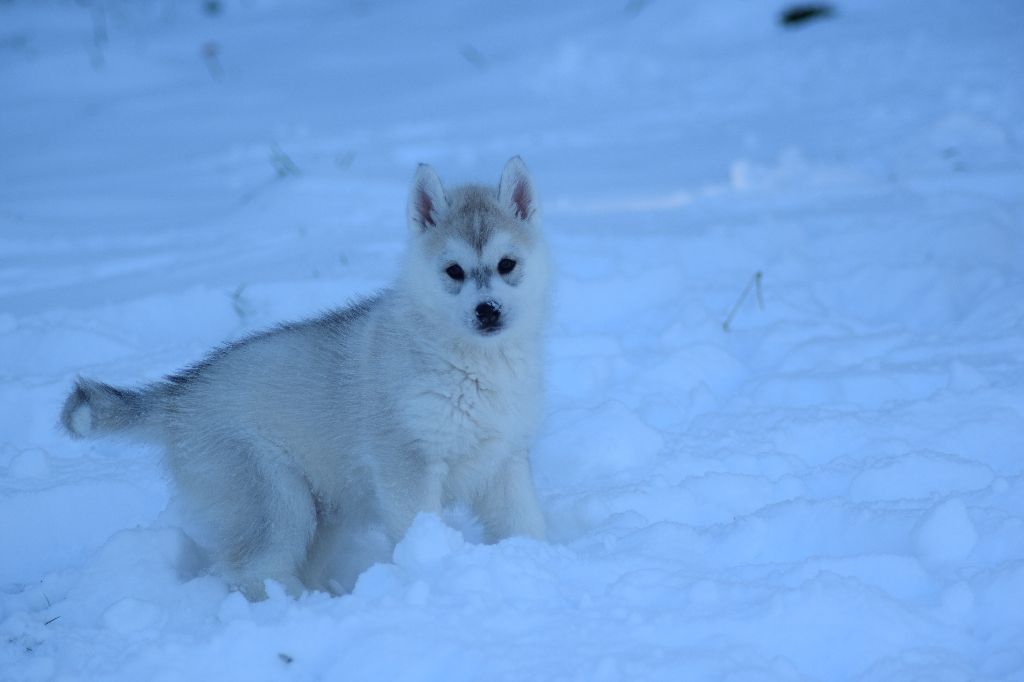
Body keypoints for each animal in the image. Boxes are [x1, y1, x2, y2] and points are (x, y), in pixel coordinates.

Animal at [59, 156, 548, 598]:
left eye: (507, 264)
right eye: (454, 271)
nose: (488, 310)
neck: (473, 363)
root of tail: (181, 393)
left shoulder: (504, 460)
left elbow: (522, 522)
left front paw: (538, 560)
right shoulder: (406, 464)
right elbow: (417, 528)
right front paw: (431, 568)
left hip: (324, 510)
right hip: (275, 497)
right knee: (253, 569)